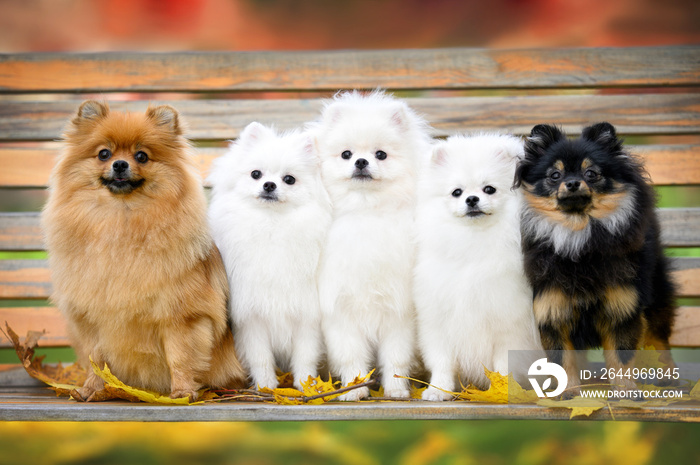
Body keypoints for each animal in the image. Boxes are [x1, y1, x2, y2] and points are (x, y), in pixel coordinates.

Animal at [42, 99, 246, 400]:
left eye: (141, 156)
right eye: (104, 153)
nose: (120, 164)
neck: (122, 220)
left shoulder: (180, 316)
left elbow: (180, 356)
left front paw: (182, 392)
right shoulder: (92, 318)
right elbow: (96, 359)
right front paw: (91, 389)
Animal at [208, 121, 330, 390]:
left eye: (289, 179)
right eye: (256, 174)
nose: (269, 185)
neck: (272, 225)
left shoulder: (306, 316)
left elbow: (305, 356)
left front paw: (305, 385)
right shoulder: (252, 317)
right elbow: (260, 356)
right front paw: (266, 386)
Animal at [312, 90, 432, 398]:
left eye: (381, 154)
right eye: (346, 154)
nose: (361, 162)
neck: (366, 211)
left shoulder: (399, 313)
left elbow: (396, 357)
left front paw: (397, 390)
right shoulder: (340, 311)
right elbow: (351, 356)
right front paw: (352, 390)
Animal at [412, 133, 544, 398]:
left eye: (489, 189)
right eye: (456, 192)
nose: (472, 199)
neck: (474, 243)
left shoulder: (509, 326)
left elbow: (503, 366)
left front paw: (502, 392)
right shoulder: (438, 321)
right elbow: (442, 362)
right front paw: (438, 390)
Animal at [512, 122, 676, 392]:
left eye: (591, 174)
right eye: (554, 175)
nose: (572, 183)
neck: (578, 235)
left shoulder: (622, 307)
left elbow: (621, 355)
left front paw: (626, 390)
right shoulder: (552, 308)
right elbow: (561, 359)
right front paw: (568, 392)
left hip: (656, 292)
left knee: (658, 335)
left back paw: (665, 374)